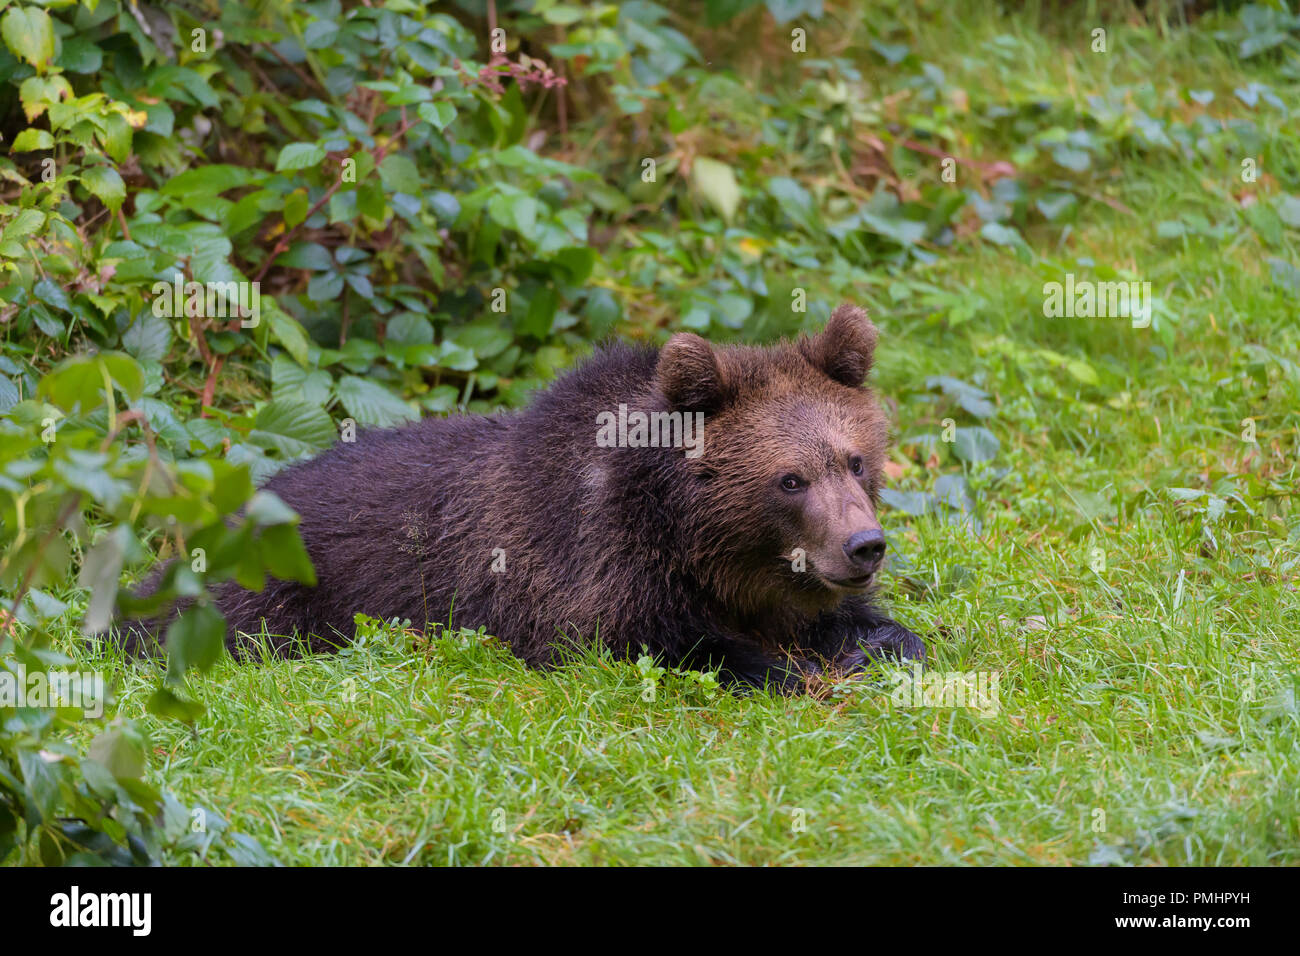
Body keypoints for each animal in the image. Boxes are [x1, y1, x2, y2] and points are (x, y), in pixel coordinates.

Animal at [119, 304, 924, 693]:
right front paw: (787, 669)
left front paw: (880, 642)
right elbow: (656, 640)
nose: (864, 545)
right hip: (269, 590)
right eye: (789, 479)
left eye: (855, 460)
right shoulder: (586, 571)